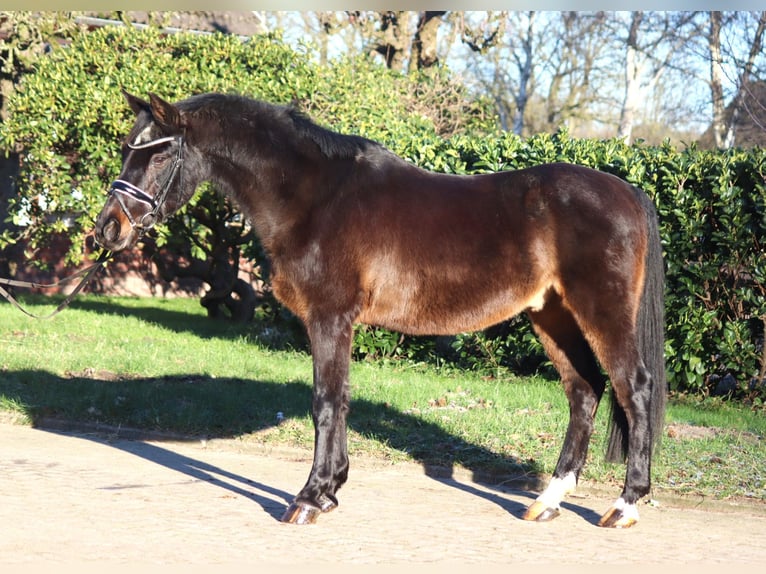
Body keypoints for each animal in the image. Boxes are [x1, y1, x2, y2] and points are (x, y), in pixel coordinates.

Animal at [94, 91, 664, 532]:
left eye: (158, 156)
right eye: (127, 150)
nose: (107, 229)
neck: (314, 197)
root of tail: (629, 192)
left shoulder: (328, 318)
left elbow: (325, 403)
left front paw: (308, 500)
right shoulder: (337, 323)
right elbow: (341, 400)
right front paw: (330, 491)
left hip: (600, 311)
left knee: (633, 388)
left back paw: (624, 506)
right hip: (551, 315)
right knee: (584, 391)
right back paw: (547, 502)